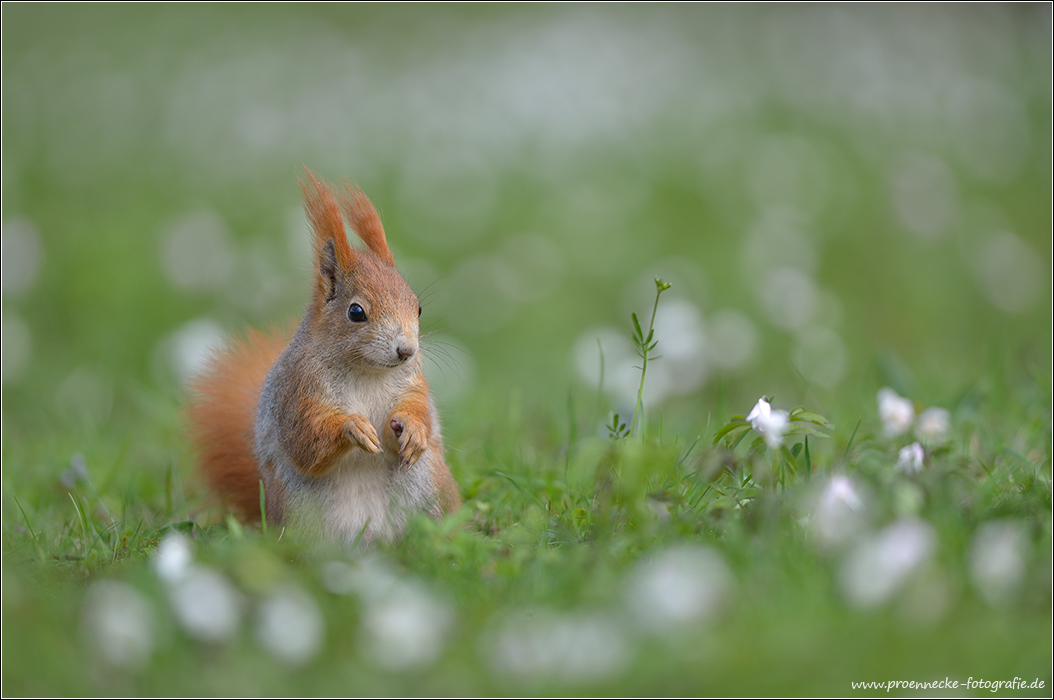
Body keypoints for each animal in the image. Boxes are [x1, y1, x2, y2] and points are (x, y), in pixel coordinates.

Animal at [184, 171, 461, 543]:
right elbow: (306, 442)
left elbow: (419, 411)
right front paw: (353, 427)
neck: (367, 371)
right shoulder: (298, 392)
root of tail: (373, 538)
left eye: (417, 307)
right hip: (300, 512)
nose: (406, 350)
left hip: (430, 486)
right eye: (356, 312)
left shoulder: (413, 384)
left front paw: (414, 430)